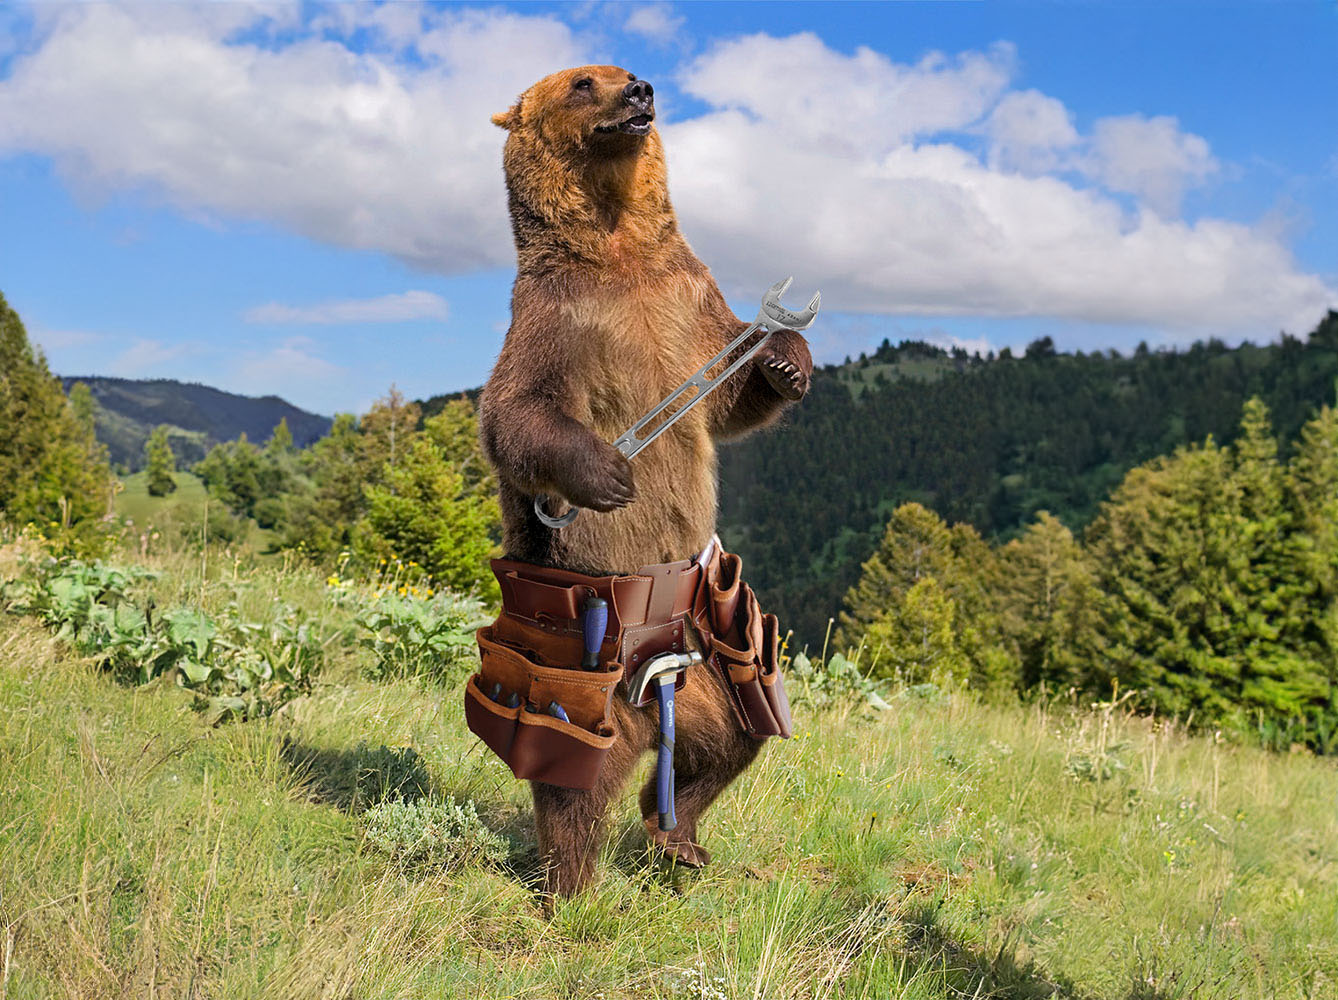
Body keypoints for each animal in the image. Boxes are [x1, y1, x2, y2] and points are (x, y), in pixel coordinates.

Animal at [481, 66, 813, 904]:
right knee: (575, 787)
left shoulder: (687, 300)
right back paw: (570, 887)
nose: (640, 91)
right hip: (585, 681)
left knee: (730, 740)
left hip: (711, 665)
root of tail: (649, 710)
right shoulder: (556, 318)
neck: (617, 249)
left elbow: (732, 392)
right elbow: (515, 413)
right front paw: (607, 473)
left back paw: (681, 837)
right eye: (581, 82)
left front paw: (784, 358)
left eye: (621, 71)